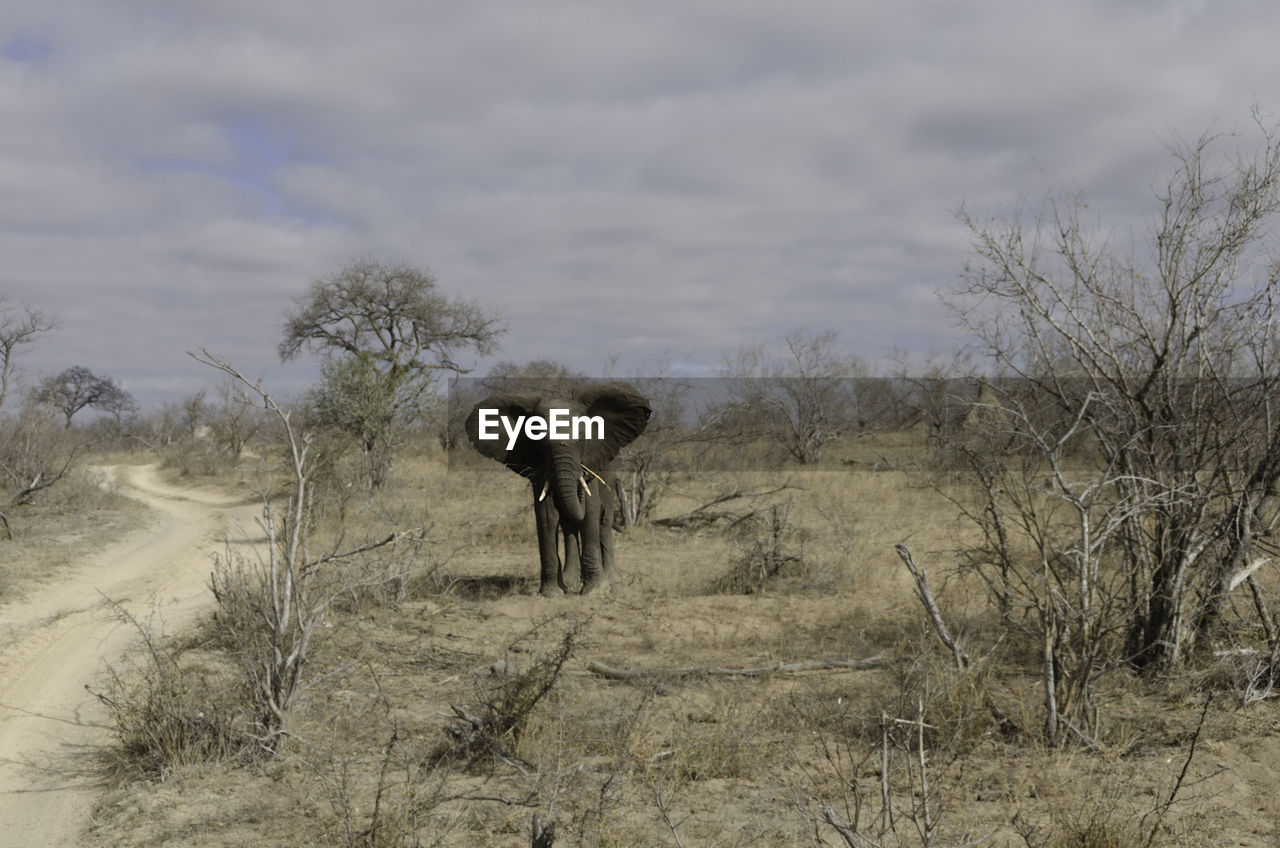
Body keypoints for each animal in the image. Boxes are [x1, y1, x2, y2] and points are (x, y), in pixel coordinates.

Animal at [465, 384, 650, 596]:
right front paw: (551, 593)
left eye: (582, 439)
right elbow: (547, 515)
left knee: (603, 520)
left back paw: (610, 581)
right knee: (569, 525)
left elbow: (590, 512)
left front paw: (593, 590)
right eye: (538, 442)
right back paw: (571, 580)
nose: (581, 475)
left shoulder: (591, 461)